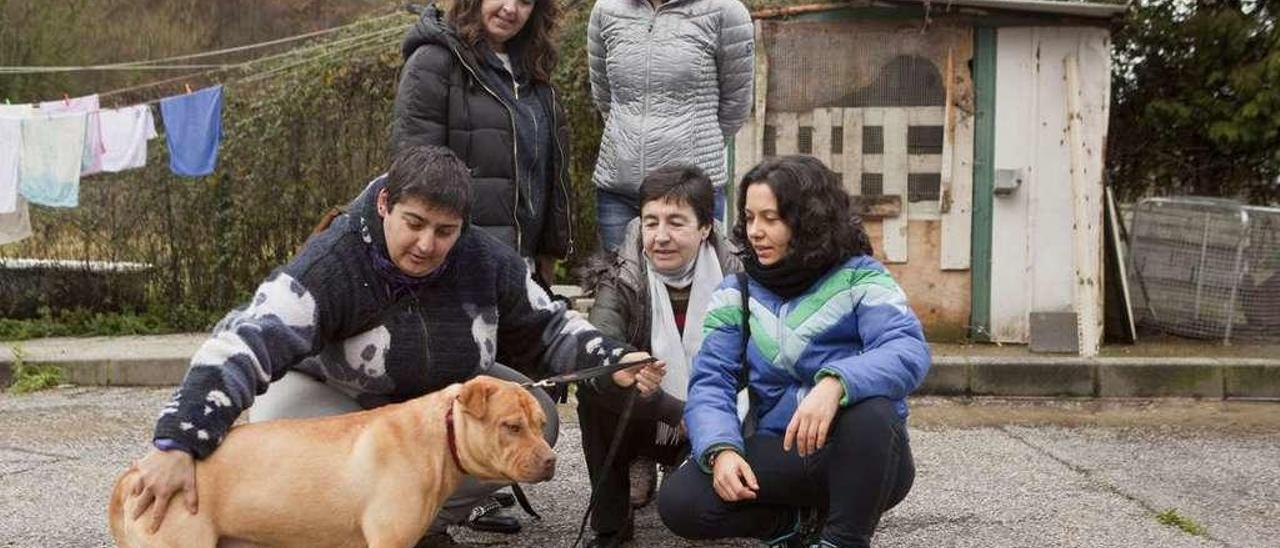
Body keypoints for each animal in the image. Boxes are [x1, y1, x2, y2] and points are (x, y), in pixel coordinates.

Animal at [106, 376, 555, 548]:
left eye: (539, 424)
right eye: (511, 426)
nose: (551, 460)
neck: (439, 434)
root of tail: (137, 472)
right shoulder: (388, 541)